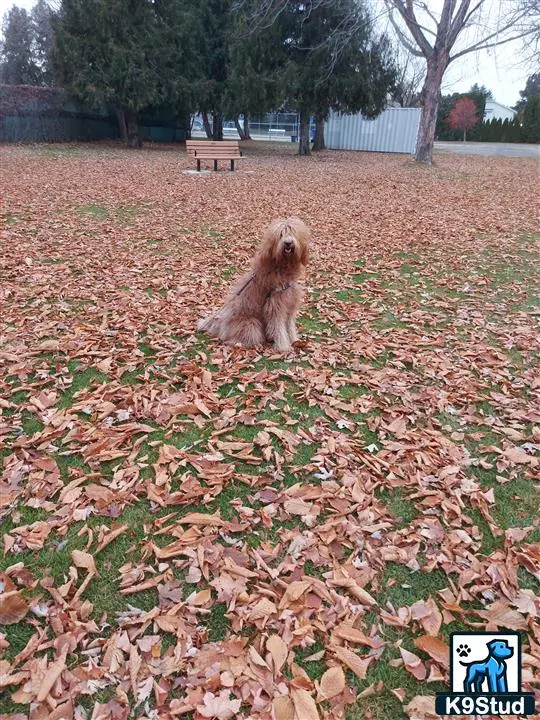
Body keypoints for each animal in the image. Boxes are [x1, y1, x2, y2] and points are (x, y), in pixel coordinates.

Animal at [198, 217, 310, 352]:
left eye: (292, 233)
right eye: (280, 234)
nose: (288, 243)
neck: (282, 267)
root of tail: (220, 325)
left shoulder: (290, 303)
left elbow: (289, 324)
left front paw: (294, 340)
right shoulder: (274, 305)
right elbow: (279, 327)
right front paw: (283, 347)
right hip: (251, 324)